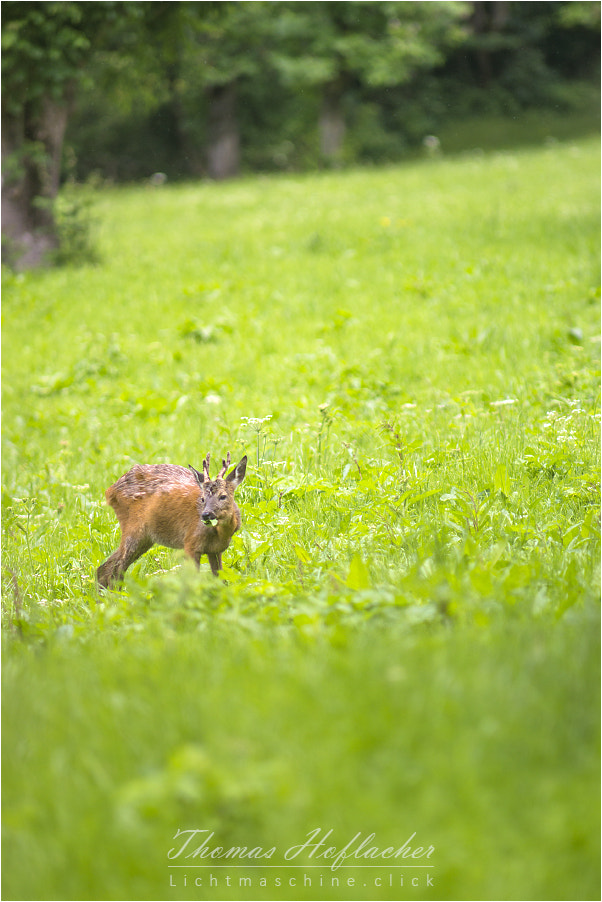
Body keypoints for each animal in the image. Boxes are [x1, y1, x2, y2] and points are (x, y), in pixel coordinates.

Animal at [97, 452, 247, 592]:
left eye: (223, 496)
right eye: (203, 498)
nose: (206, 515)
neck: (220, 534)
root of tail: (110, 491)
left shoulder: (216, 550)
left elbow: (221, 581)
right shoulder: (190, 543)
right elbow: (192, 581)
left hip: (145, 539)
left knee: (109, 568)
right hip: (133, 530)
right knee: (113, 568)